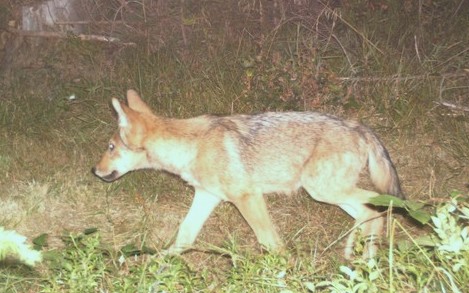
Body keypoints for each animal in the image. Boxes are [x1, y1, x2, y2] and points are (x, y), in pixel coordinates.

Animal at [90, 89, 402, 258]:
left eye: (110, 147)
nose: (94, 170)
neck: (192, 146)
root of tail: (358, 126)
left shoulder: (247, 197)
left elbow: (270, 241)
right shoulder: (207, 196)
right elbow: (184, 235)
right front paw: (157, 262)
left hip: (323, 191)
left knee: (375, 209)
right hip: (331, 194)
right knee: (374, 213)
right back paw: (365, 262)